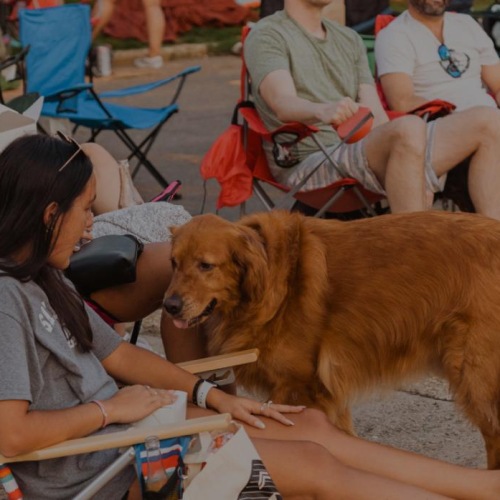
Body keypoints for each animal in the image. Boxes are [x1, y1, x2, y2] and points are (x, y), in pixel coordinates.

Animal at [164, 210, 500, 468]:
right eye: (173, 263)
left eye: (206, 265)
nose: (169, 306)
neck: (270, 274)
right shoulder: (325, 394)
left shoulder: (301, 389)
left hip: (477, 380)